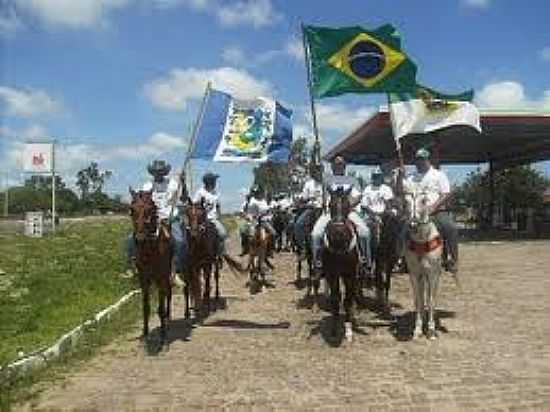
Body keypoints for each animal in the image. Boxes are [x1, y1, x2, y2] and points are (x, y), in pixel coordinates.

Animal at [129, 188, 172, 342]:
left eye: (151, 209)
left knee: (168, 294)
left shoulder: (161, 278)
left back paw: (168, 318)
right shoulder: (144, 279)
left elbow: (160, 307)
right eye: (131, 209)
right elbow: (146, 307)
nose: (140, 239)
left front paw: (163, 335)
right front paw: (145, 332)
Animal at [406, 190, 444, 338]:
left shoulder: (432, 274)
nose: (413, 225)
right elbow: (418, 301)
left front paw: (431, 330)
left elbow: (431, 300)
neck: (422, 241)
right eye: (406, 201)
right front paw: (417, 329)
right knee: (422, 298)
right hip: (422, 277)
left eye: (423, 200)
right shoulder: (415, 274)